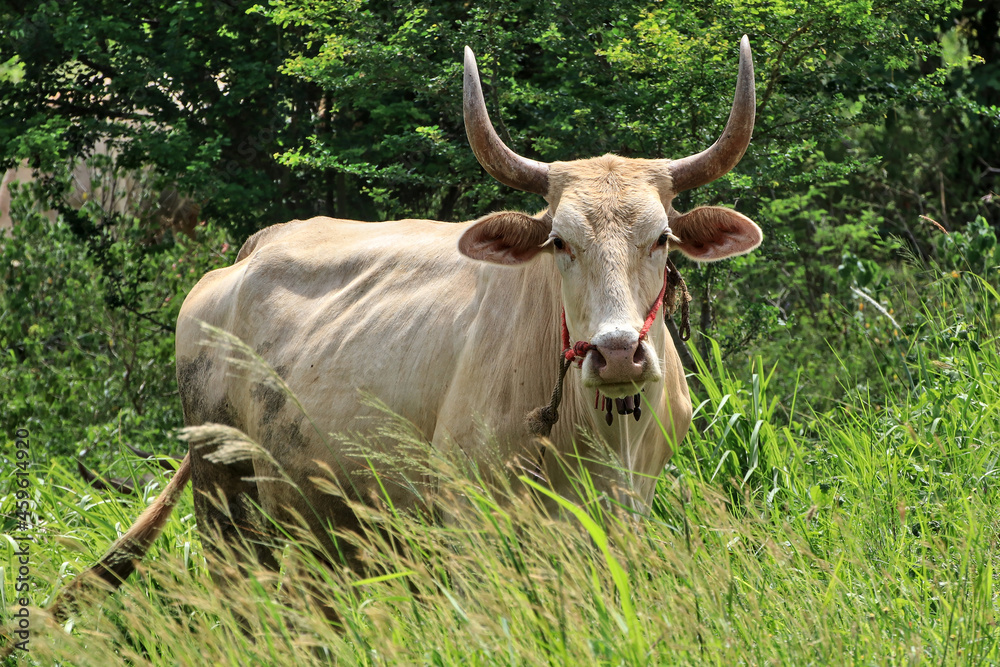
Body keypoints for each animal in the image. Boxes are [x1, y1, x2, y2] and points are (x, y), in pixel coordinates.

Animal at [50, 37, 760, 604]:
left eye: (662, 238)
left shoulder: (623, 513)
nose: (615, 355)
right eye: (560, 242)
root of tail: (246, 255)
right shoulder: (471, 522)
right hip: (222, 503)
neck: (595, 435)